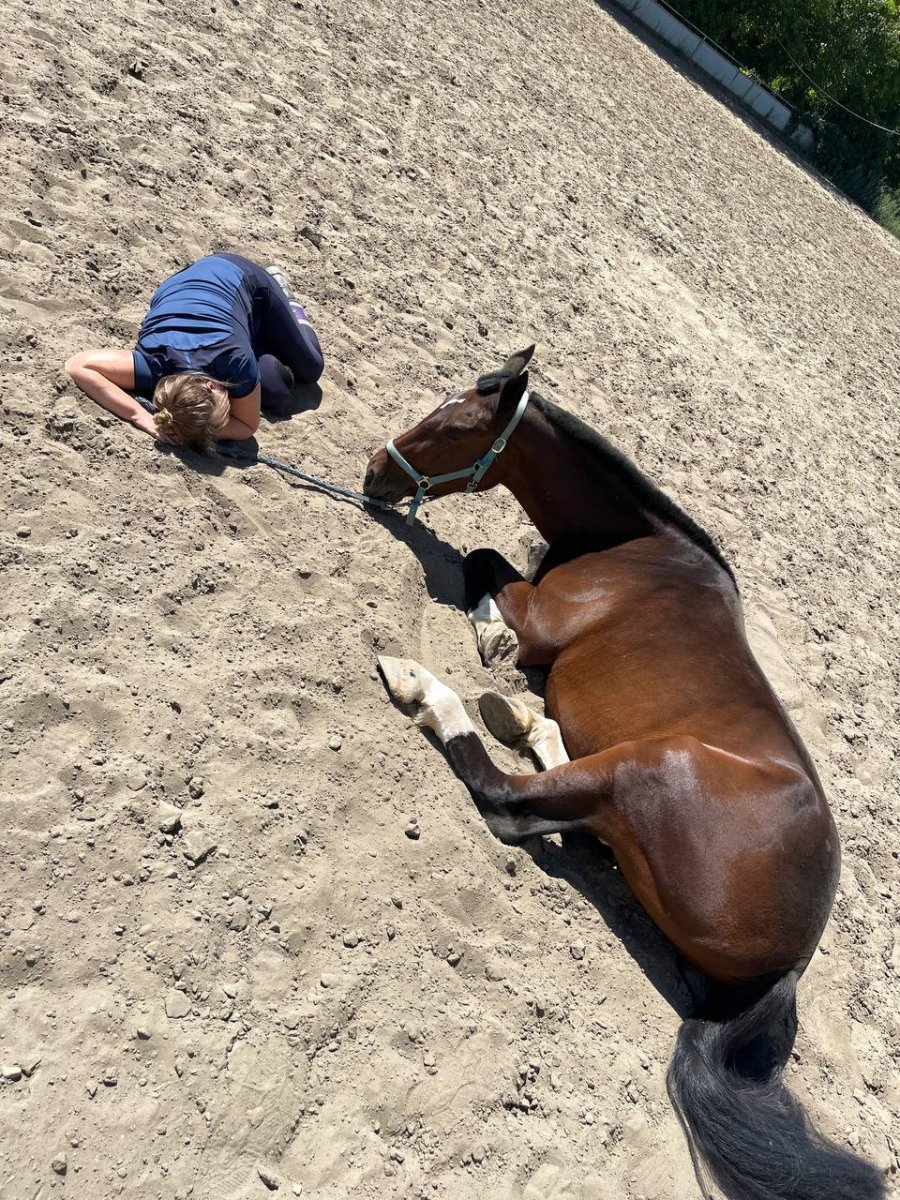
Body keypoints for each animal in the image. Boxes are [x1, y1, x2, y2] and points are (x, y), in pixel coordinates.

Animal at [362, 348, 883, 1200]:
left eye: (453, 426)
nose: (374, 472)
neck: (629, 547)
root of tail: (791, 965)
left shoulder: (540, 615)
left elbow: (485, 563)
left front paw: (492, 639)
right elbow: (501, 554)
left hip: (646, 767)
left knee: (509, 802)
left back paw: (432, 689)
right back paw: (523, 717)